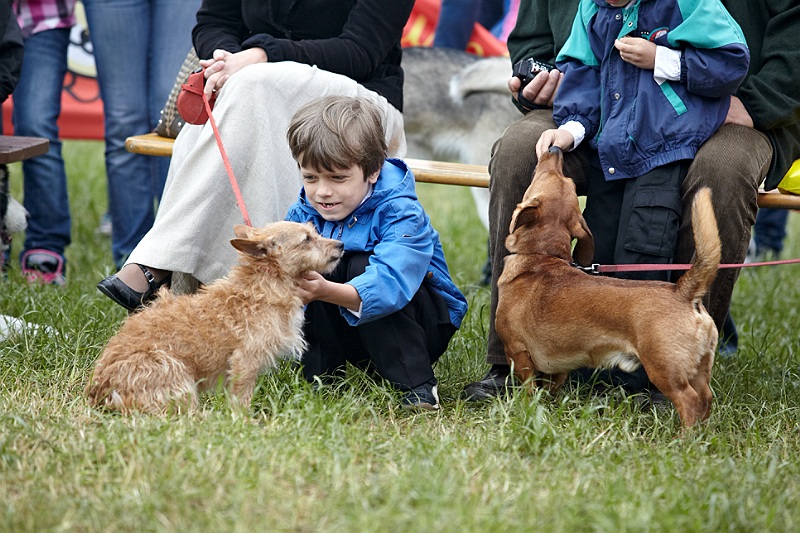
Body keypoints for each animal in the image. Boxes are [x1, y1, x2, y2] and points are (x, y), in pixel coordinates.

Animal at [86, 221, 343, 414]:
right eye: (307, 239)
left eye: (314, 232)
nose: (341, 245)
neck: (261, 286)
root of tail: (98, 392)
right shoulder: (245, 360)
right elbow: (242, 398)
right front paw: (244, 423)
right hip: (174, 372)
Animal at [495, 148, 721, 429]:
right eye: (568, 182)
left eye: (552, 176)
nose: (555, 149)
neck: (539, 256)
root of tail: (683, 292)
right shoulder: (556, 367)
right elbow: (549, 388)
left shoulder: (518, 352)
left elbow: (528, 389)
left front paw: (525, 409)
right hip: (699, 370)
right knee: (706, 399)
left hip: (665, 371)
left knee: (689, 402)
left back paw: (684, 437)